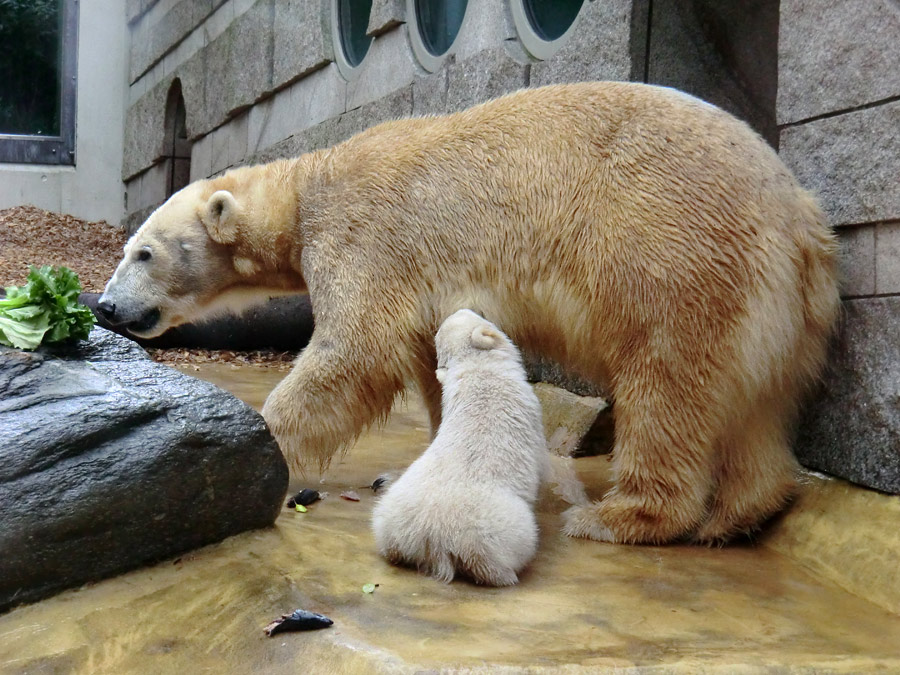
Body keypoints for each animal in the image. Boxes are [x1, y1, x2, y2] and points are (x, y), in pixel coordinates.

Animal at [98, 80, 836, 544]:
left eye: (143, 251)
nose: (105, 305)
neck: (307, 187)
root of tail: (800, 217)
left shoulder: (365, 234)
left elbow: (354, 350)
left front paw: (264, 447)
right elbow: (427, 359)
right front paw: (408, 463)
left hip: (673, 249)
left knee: (668, 381)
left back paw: (619, 517)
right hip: (772, 308)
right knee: (756, 406)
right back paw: (739, 514)